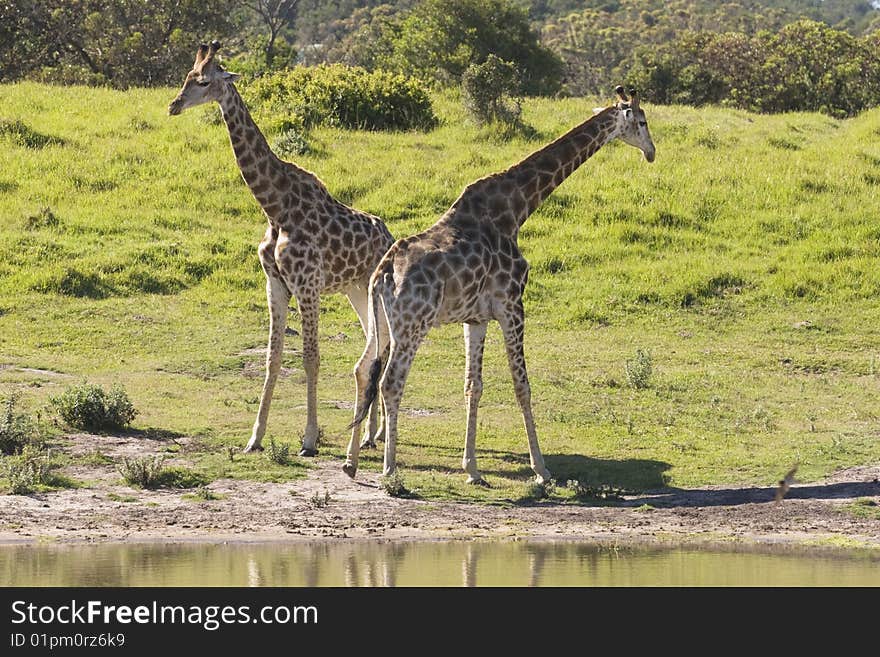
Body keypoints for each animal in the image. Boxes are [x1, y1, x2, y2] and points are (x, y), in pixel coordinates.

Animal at [168, 41, 392, 454]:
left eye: (204, 81)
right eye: (186, 77)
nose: (174, 105)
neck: (275, 207)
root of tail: (389, 237)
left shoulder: (307, 285)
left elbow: (310, 358)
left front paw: (309, 439)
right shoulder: (275, 284)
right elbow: (273, 359)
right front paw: (255, 437)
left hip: (371, 290)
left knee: (382, 349)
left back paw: (375, 433)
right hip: (355, 290)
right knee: (377, 348)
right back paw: (372, 433)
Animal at [344, 84, 652, 484]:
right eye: (642, 121)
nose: (652, 152)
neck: (517, 209)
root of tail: (383, 273)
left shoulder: (475, 318)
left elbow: (472, 386)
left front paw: (472, 469)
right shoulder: (512, 306)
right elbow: (522, 385)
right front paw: (541, 469)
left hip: (380, 320)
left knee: (365, 368)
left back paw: (351, 461)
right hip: (413, 324)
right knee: (391, 381)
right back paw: (390, 469)